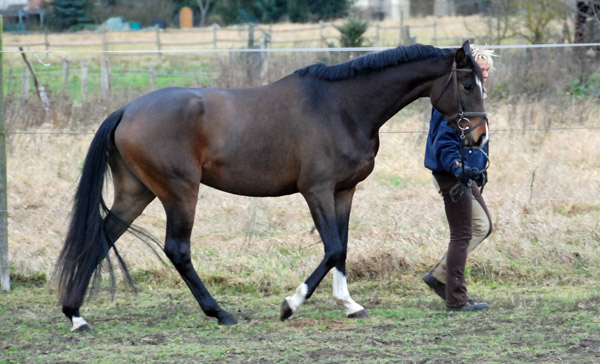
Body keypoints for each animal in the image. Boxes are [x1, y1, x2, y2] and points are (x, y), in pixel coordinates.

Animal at [54, 41, 488, 332]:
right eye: (469, 85)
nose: (478, 137)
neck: (343, 107)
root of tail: (127, 110)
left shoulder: (344, 191)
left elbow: (343, 248)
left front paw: (349, 304)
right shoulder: (316, 190)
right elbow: (332, 248)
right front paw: (290, 304)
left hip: (136, 193)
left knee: (101, 237)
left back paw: (76, 315)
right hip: (179, 192)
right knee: (177, 249)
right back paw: (220, 312)